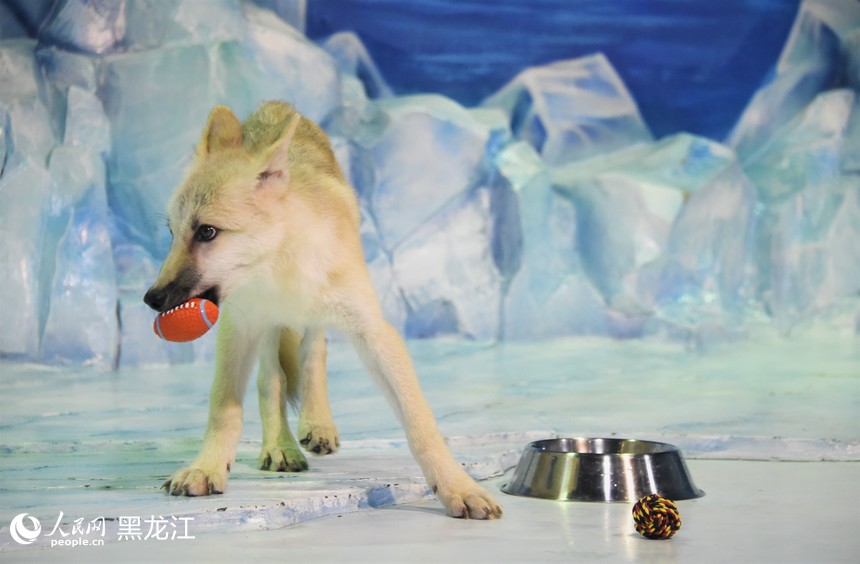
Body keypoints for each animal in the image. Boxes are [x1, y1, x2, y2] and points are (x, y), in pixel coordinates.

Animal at [144, 100, 500, 520]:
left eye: (207, 232)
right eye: (172, 233)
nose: (151, 298)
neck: (283, 270)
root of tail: (275, 105)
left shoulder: (374, 332)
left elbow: (420, 423)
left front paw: (459, 487)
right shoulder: (239, 327)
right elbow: (225, 409)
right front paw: (207, 468)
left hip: (317, 321)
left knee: (313, 355)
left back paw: (317, 424)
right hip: (263, 330)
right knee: (272, 379)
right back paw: (280, 446)